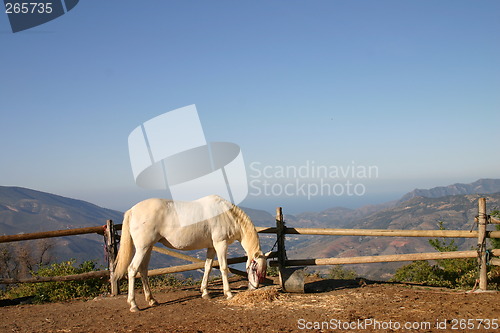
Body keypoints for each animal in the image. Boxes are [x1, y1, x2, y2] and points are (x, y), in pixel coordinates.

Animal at [113, 195, 270, 312]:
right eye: (254, 268)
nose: (254, 288)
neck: (227, 214)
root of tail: (132, 210)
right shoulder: (221, 244)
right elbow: (224, 268)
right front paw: (229, 293)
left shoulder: (211, 247)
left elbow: (208, 267)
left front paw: (205, 293)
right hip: (142, 247)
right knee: (132, 270)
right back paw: (134, 305)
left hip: (148, 247)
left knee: (143, 270)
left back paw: (152, 300)